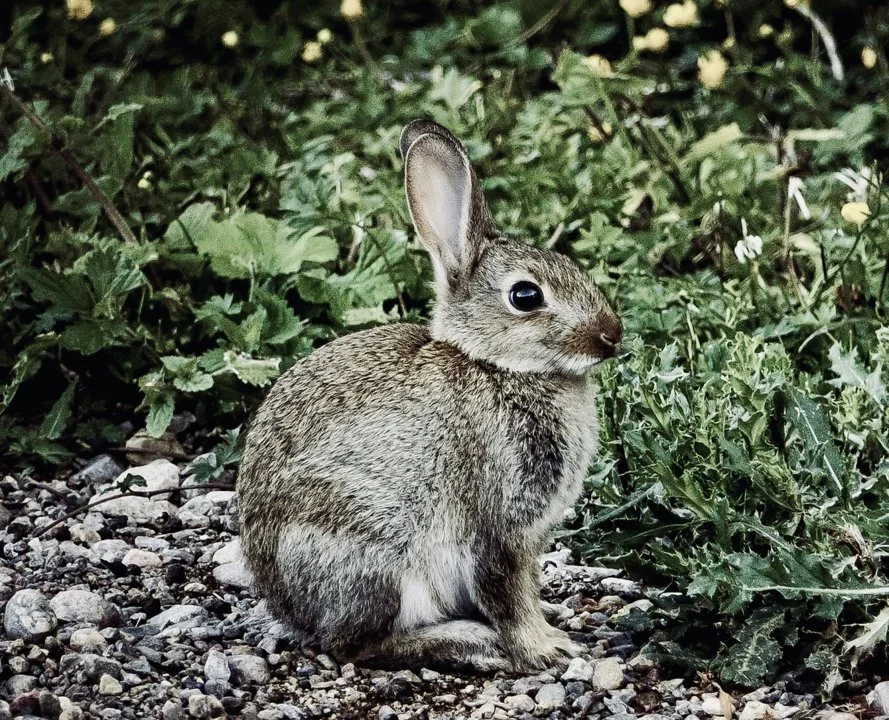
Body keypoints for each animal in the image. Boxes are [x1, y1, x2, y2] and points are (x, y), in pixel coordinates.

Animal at [237, 119, 623, 673]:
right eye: (526, 296)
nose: (612, 335)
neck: (497, 366)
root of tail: (288, 606)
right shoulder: (498, 527)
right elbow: (508, 593)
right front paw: (546, 648)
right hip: (376, 558)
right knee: (357, 645)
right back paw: (467, 641)